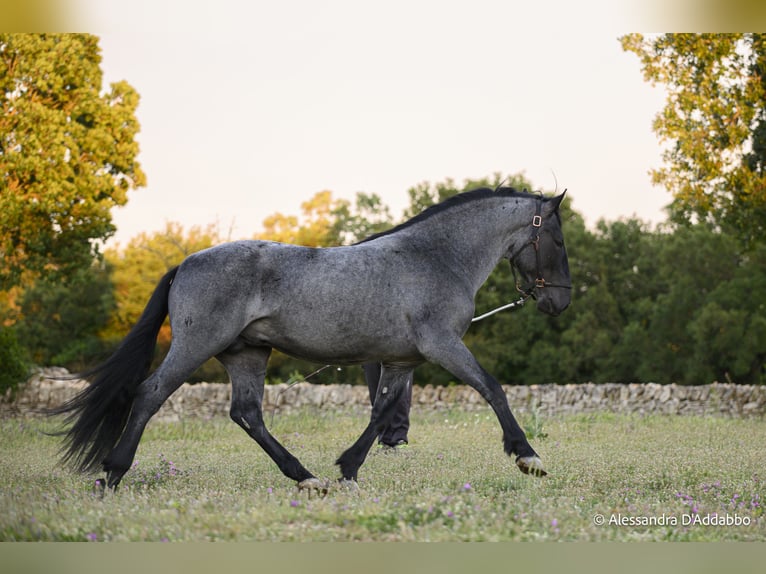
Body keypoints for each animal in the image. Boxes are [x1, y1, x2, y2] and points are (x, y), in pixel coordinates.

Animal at [52, 187, 571, 493]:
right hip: (197, 347)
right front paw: (528, 457)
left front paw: (347, 468)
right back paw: (113, 473)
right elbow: (492, 388)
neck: (435, 257)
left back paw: (307, 478)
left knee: (247, 414)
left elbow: (382, 413)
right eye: (559, 241)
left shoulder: (402, 360)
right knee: (150, 395)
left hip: (247, 354)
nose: (560, 302)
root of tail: (186, 262)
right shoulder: (442, 347)